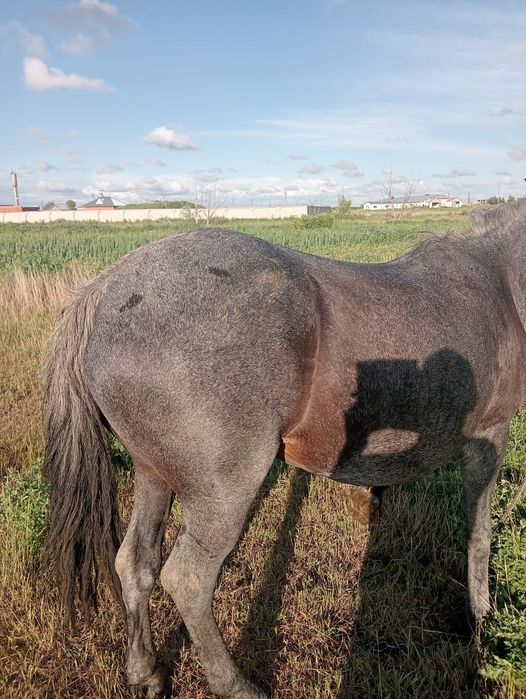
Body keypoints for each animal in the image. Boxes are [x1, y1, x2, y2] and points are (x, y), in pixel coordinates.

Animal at [44, 199, 526, 698]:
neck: (499, 281)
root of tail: (102, 289)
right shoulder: (490, 437)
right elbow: (479, 532)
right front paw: (481, 617)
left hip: (152, 474)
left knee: (135, 564)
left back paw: (145, 674)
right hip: (224, 493)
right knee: (188, 579)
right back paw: (235, 684)